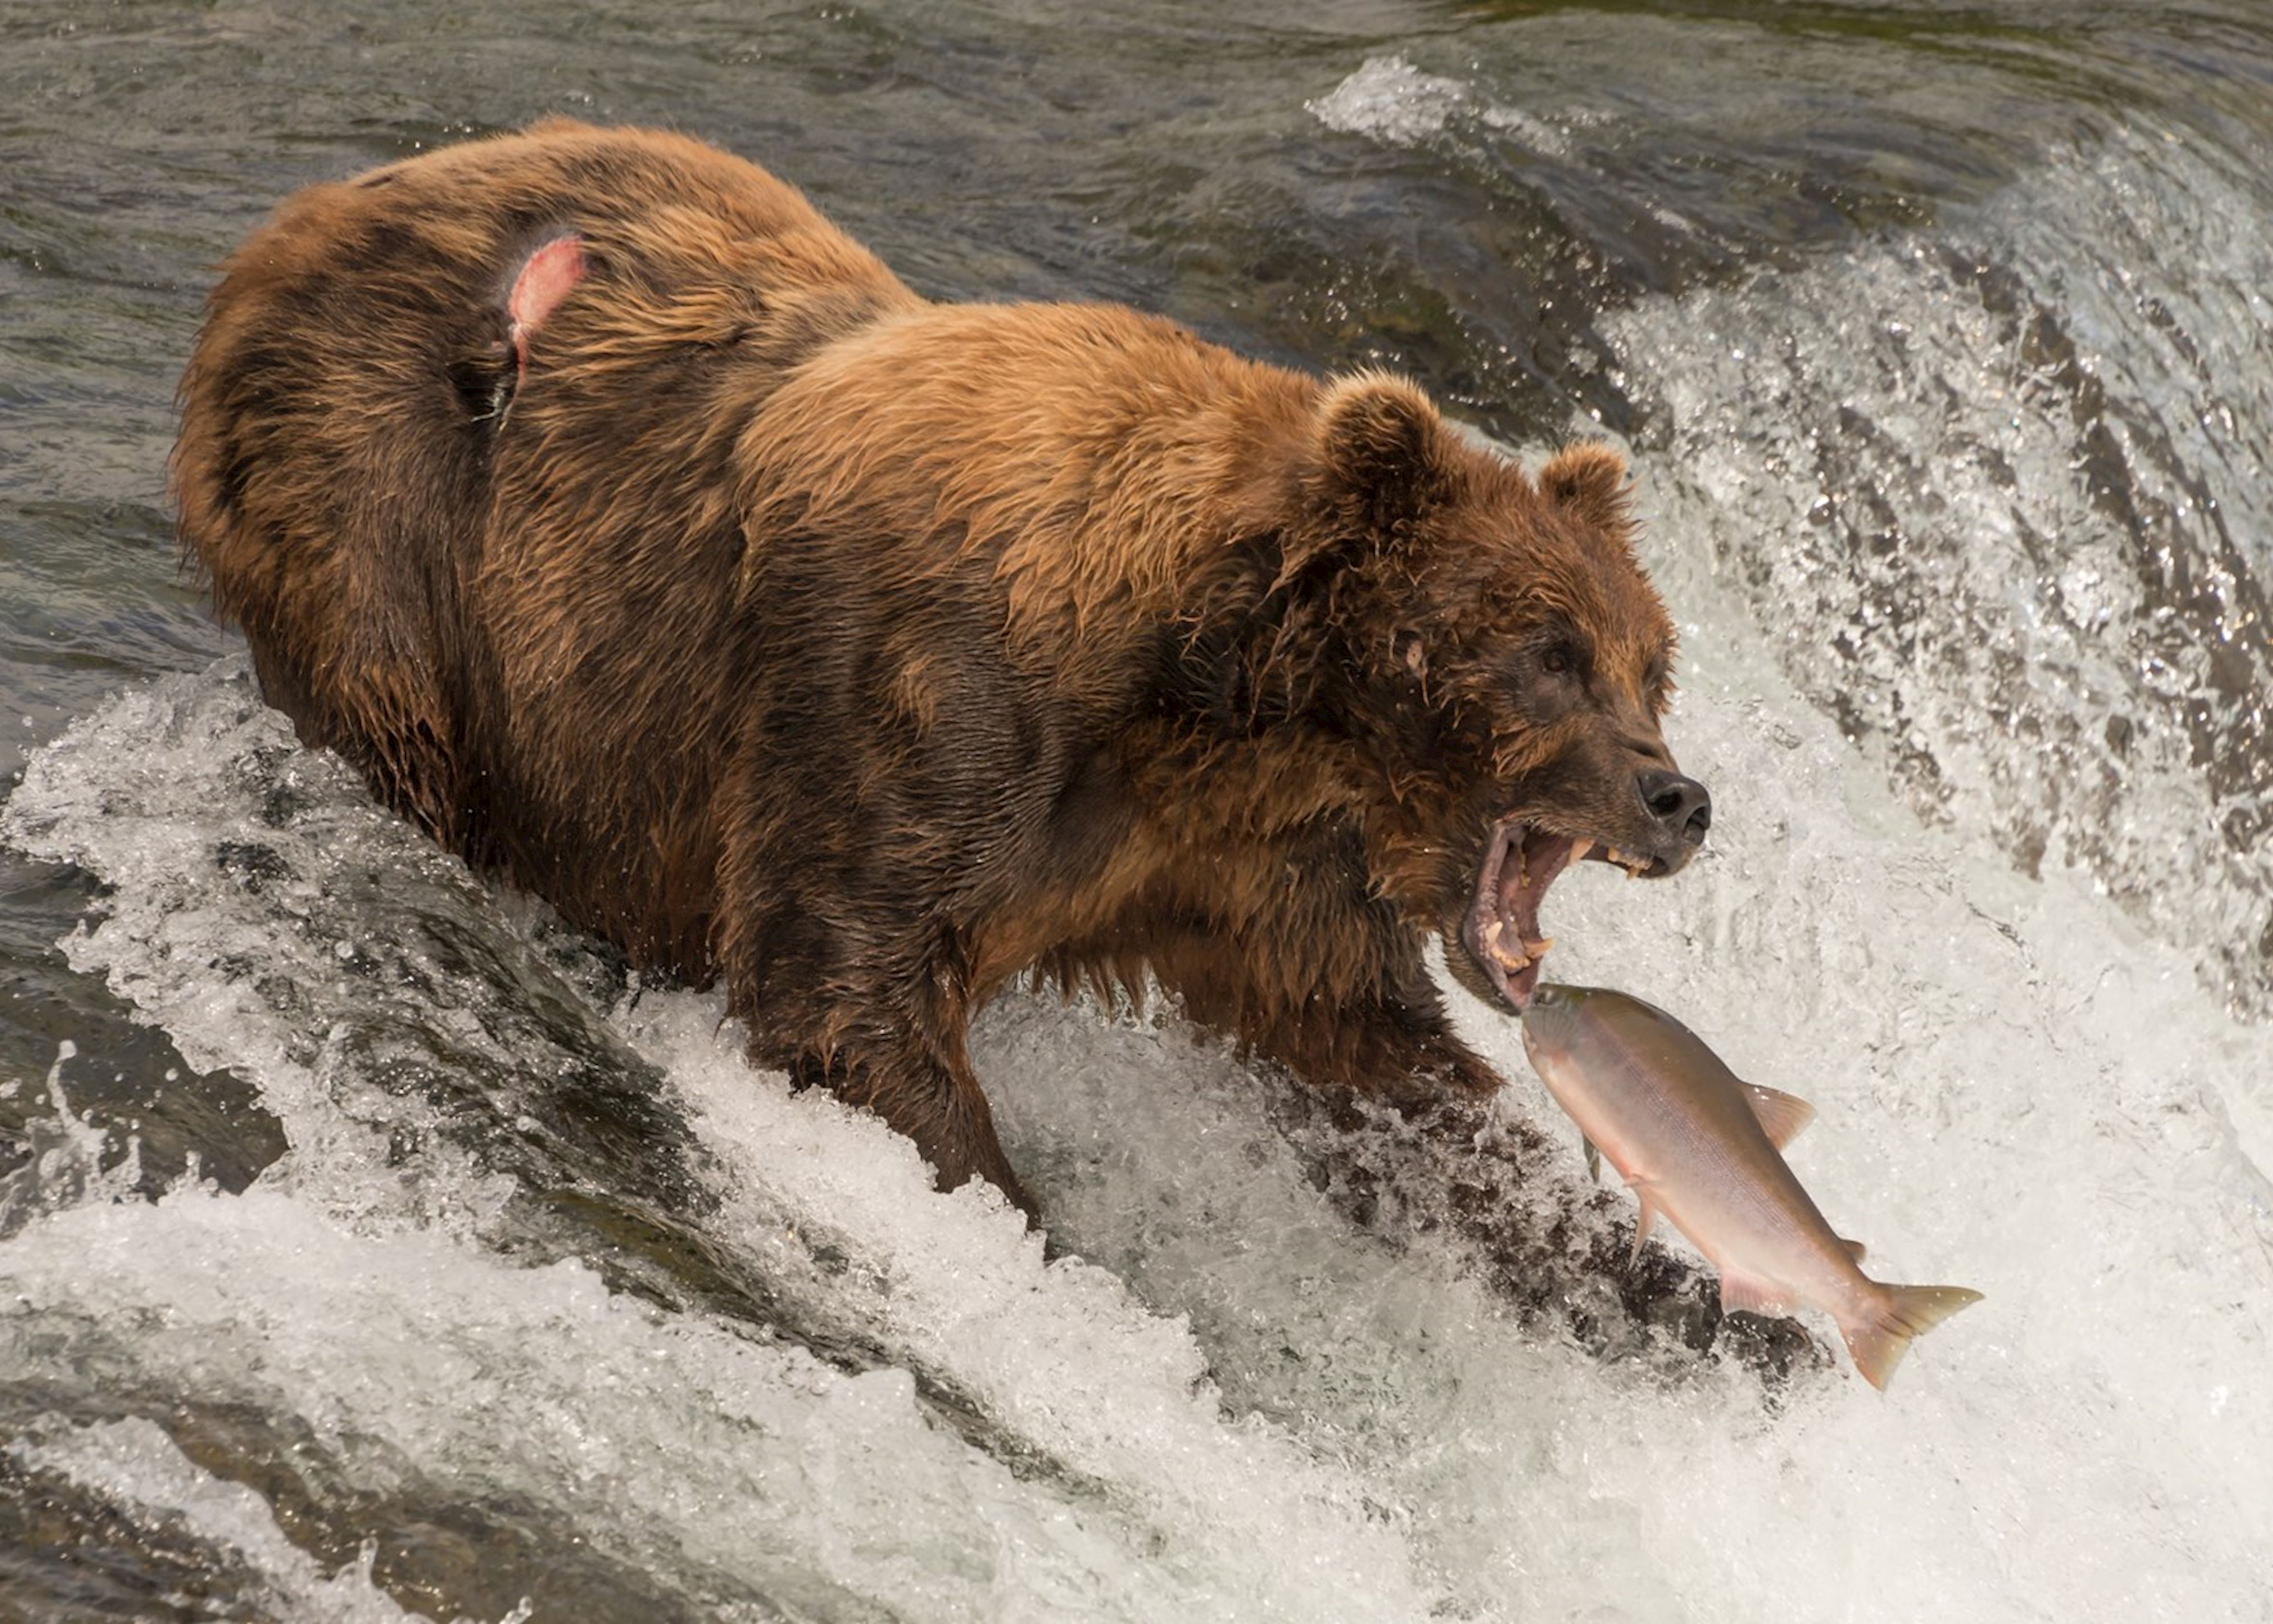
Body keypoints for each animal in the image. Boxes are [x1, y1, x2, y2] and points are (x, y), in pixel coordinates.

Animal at [177, 121, 1709, 1217]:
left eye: (1649, 664)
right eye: (1547, 653)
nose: (1679, 799)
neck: (1212, 689)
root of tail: (300, 213)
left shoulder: (1241, 856)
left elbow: (1368, 1041)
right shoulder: (926, 694)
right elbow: (843, 984)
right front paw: (1018, 1220)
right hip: (381, 516)